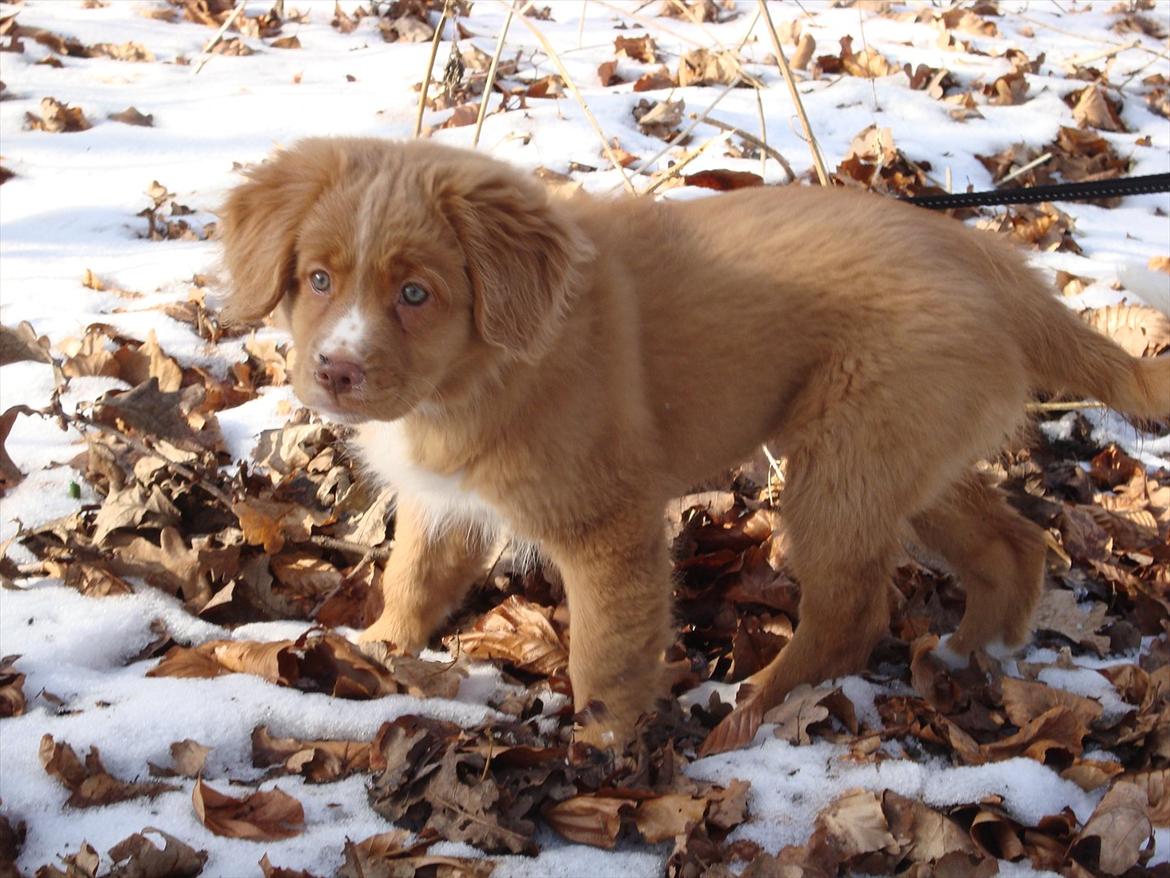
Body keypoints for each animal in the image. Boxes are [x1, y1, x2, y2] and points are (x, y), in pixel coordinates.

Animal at [221, 139, 1170, 758]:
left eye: (416, 294)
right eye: (317, 279)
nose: (336, 372)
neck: (477, 374)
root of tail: (1003, 270)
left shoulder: (608, 524)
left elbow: (605, 650)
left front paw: (600, 749)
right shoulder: (446, 496)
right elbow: (416, 578)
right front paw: (376, 651)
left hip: (847, 458)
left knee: (852, 609)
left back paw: (753, 708)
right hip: (906, 450)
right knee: (1011, 541)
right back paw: (978, 651)